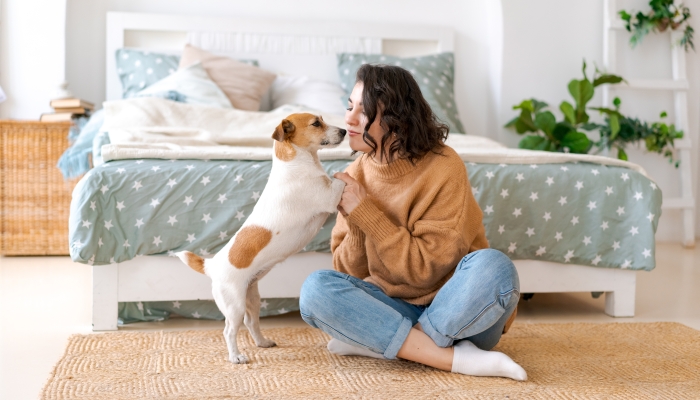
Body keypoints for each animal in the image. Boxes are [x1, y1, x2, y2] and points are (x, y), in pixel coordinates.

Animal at [178, 114, 348, 364]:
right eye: (316, 123)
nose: (345, 131)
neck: (295, 162)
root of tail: (211, 266)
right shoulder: (329, 197)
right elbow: (341, 177)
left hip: (253, 298)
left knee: (251, 322)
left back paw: (262, 342)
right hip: (234, 305)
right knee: (229, 330)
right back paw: (236, 357)